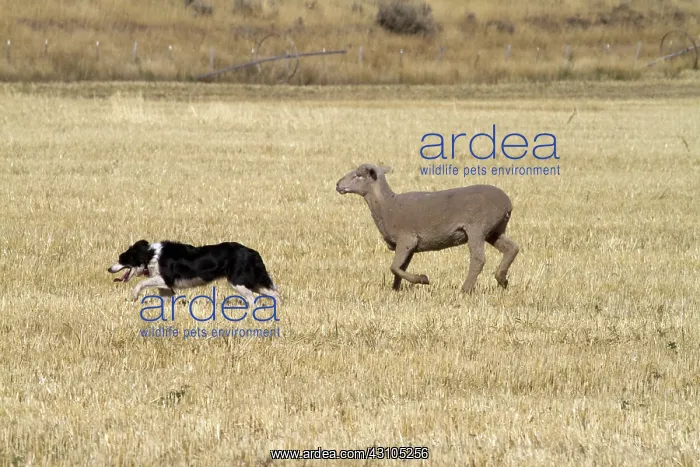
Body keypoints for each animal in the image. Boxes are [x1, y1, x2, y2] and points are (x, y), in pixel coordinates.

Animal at [335, 163, 520, 293]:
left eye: (358, 175)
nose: (337, 185)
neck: (386, 205)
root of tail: (507, 204)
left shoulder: (407, 240)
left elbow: (394, 267)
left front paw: (423, 279)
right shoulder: (409, 246)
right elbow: (399, 268)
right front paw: (395, 290)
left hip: (477, 228)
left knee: (478, 259)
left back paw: (465, 289)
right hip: (494, 230)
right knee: (512, 248)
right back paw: (502, 279)